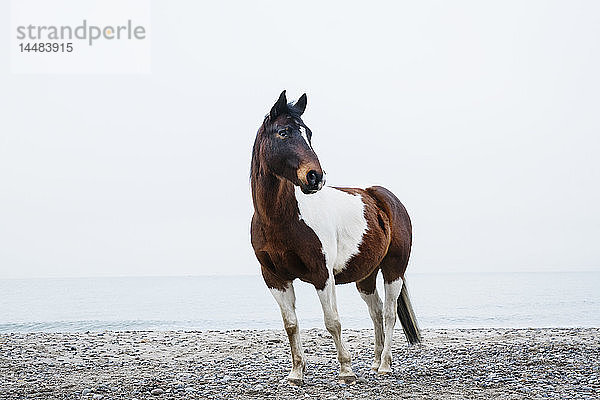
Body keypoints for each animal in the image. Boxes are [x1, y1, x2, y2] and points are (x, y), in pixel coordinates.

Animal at [251, 90, 420, 384]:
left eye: (308, 133)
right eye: (283, 132)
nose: (315, 177)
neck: (280, 219)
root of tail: (385, 198)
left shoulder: (322, 274)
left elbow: (332, 321)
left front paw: (346, 371)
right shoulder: (275, 278)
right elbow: (291, 324)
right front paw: (296, 373)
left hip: (393, 270)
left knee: (388, 313)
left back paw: (385, 365)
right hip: (366, 276)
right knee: (376, 312)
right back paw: (375, 363)